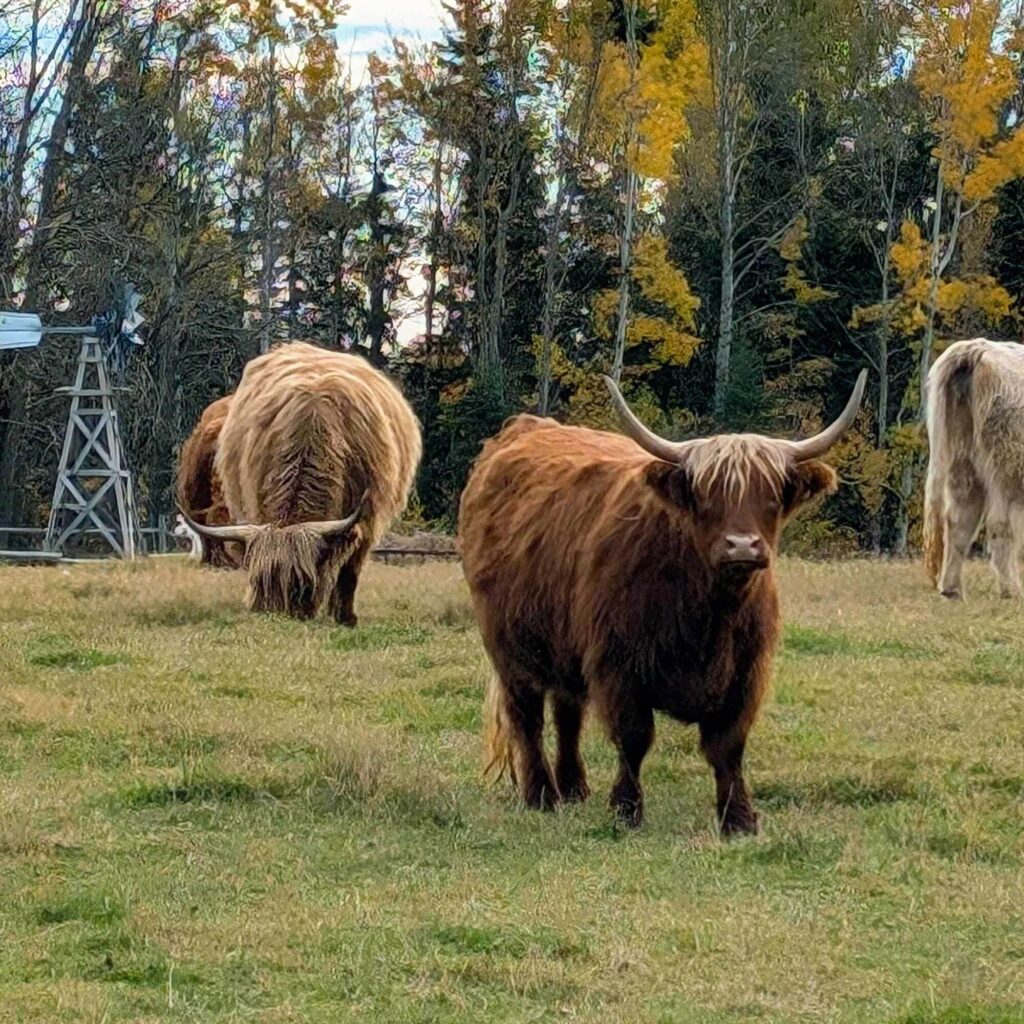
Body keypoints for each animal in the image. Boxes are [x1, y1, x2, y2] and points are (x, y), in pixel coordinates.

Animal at [186, 342, 421, 622]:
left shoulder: (367, 519)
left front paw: (345, 617)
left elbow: (349, 573)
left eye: (301, 584)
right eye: (258, 581)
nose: (273, 614)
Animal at [460, 372, 868, 835]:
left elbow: (728, 746)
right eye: (706, 495)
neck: (710, 615)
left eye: (771, 494)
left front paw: (738, 819)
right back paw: (542, 795)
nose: (741, 546)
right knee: (527, 715)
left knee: (567, 713)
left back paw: (575, 788)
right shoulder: (619, 665)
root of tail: (525, 426)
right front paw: (626, 810)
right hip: (509, 647)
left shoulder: (746, 673)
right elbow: (634, 738)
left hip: (565, 643)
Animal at [925, 337, 1024, 598]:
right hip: (1007, 465)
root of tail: (978, 348)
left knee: (959, 519)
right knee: (1000, 523)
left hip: (961, 456)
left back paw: (951, 589)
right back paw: (1012, 590)